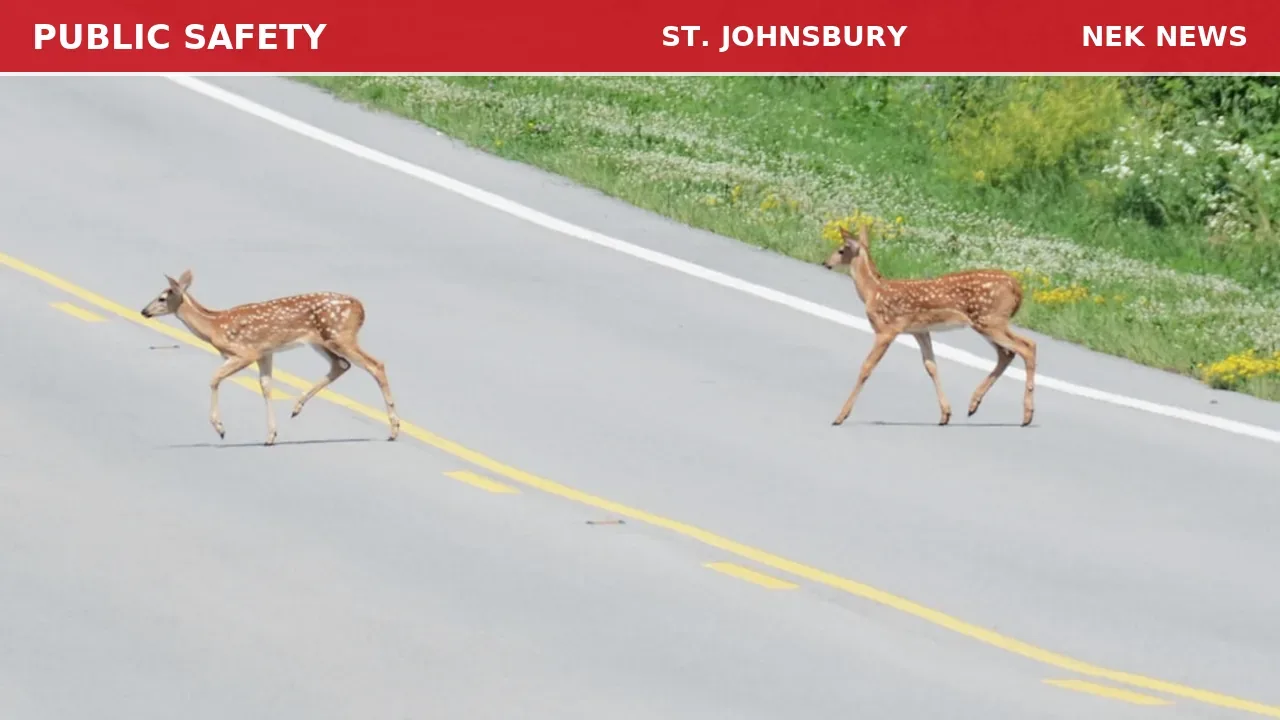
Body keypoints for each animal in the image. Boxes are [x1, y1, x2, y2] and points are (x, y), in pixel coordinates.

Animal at [139, 270, 400, 446]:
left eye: (162, 297)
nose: (144, 311)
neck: (214, 326)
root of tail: (360, 307)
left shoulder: (246, 352)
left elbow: (214, 378)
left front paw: (220, 428)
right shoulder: (265, 353)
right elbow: (266, 386)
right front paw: (271, 435)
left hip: (339, 336)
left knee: (375, 365)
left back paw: (394, 429)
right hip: (322, 341)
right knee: (342, 365)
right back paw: (296, 407)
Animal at [821, 223, 1036, 427]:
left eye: (841, 249)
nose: (825, 263)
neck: (873, 291)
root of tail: (1017, 288)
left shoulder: (887, 329)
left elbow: (867, 367)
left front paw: (840, 416)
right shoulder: (920, 331)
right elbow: (931, 366)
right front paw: (945, 414)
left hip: (990, 320)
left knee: (1026, 347)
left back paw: (1027, 415)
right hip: (988, 322)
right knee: (1010, 351)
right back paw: (974, 404)